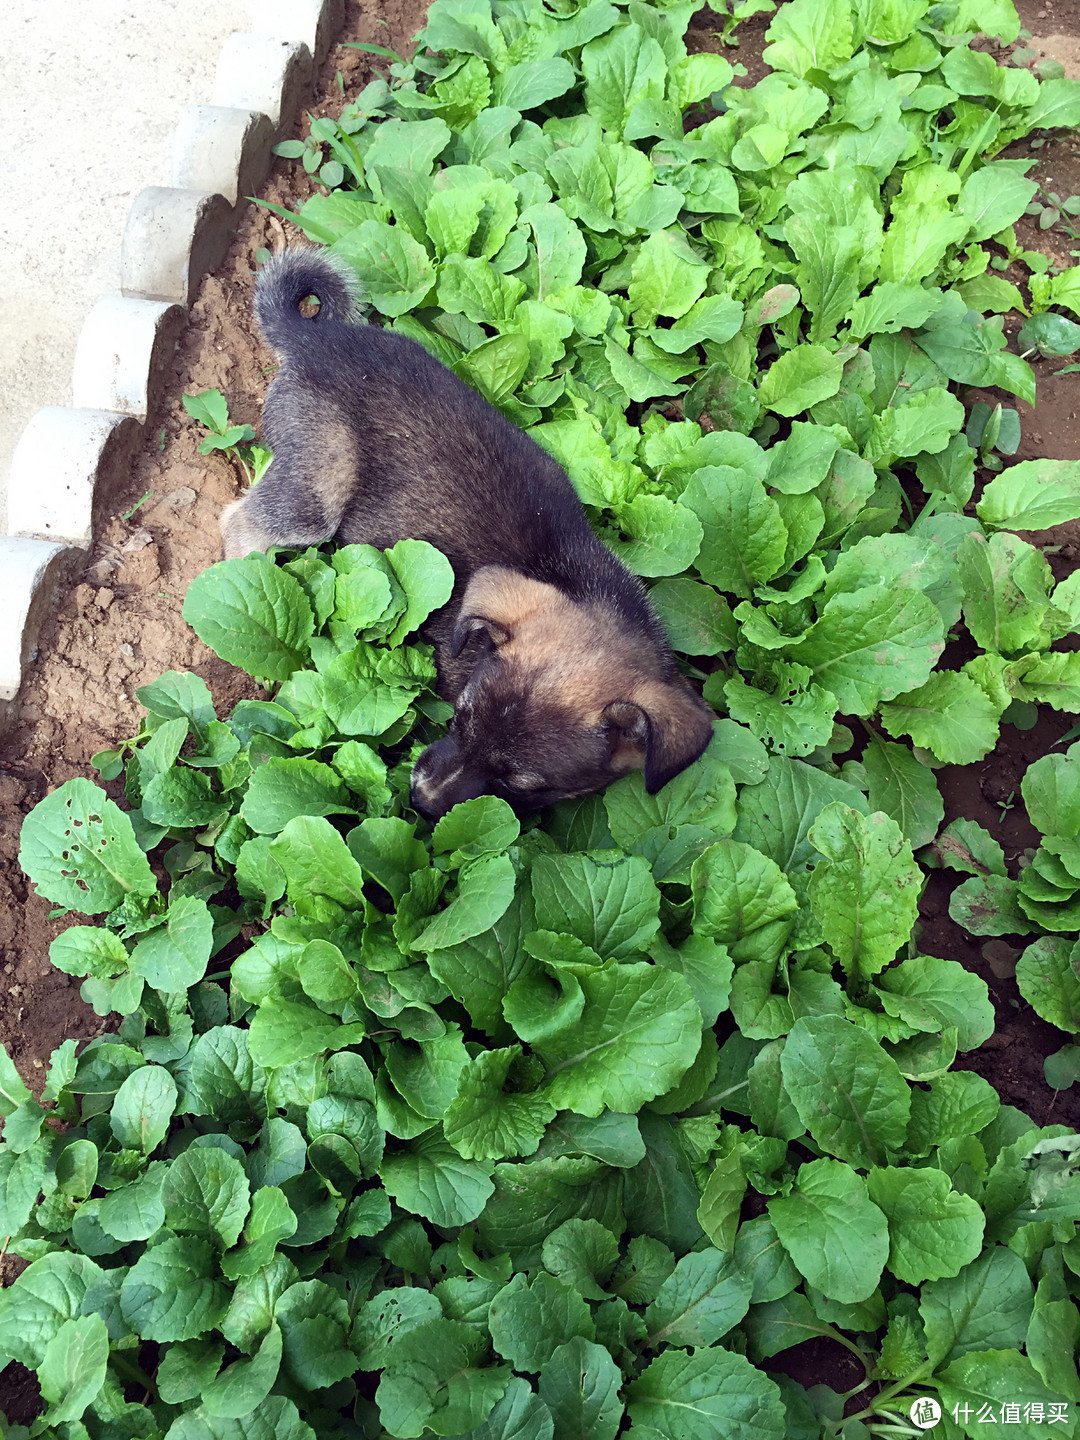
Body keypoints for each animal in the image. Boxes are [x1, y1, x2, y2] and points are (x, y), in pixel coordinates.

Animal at [220, 250, 720, 823]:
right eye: (457, 720)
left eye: (520, 784)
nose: (417, 801)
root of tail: (313, 338)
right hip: (318, 487)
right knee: (241, 520)